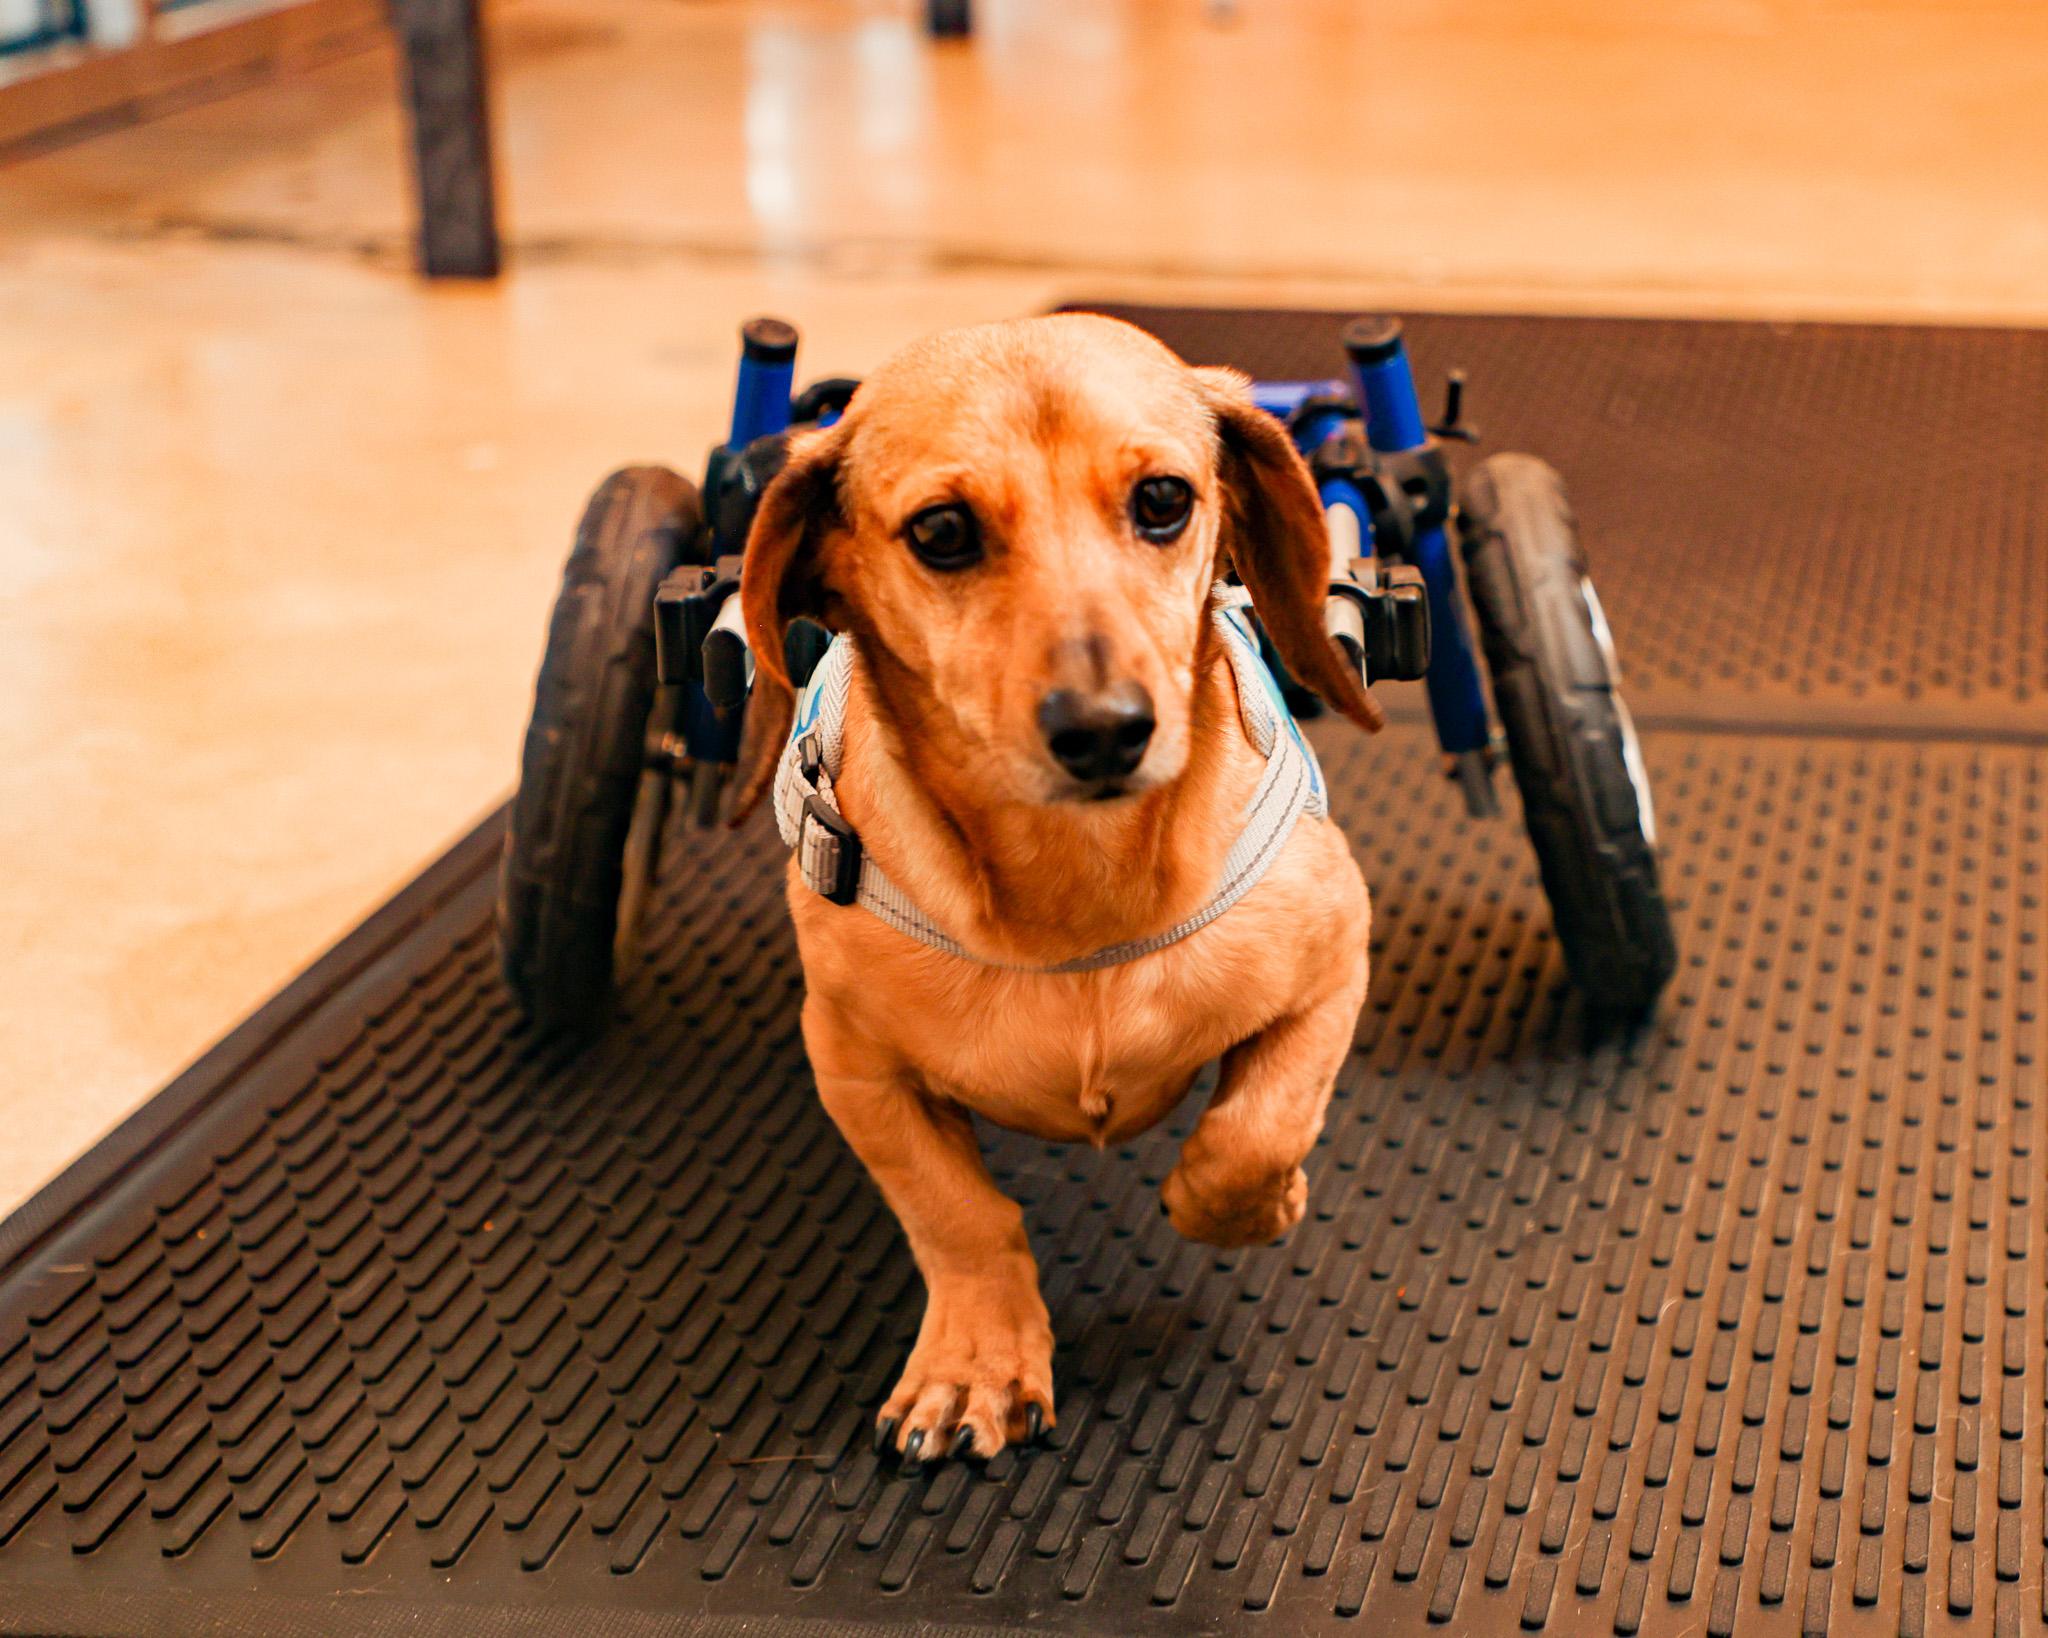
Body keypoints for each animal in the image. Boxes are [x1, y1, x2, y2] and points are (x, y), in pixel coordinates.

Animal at [729, 313, 1384, 1466]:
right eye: (943, 529)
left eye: (1164, 499)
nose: (1105, 730)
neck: (1078, 890)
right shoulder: (852, 1065)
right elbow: (958, 1215)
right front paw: (975, 1363)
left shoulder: (1335, 963)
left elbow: (1250, 1136)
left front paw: (1246, 1205)